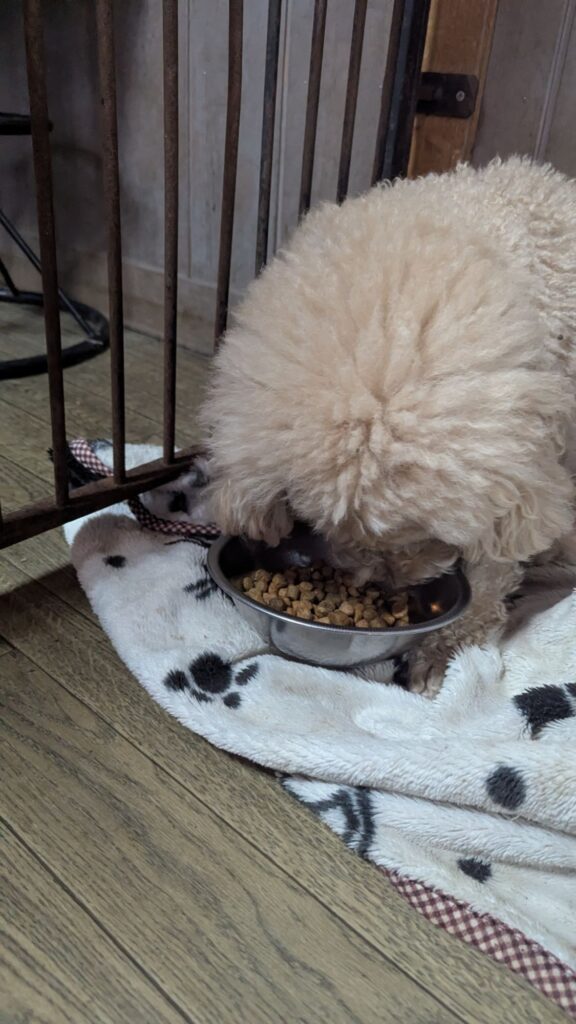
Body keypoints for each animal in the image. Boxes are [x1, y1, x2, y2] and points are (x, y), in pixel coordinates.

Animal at [200, 157, 576, 693]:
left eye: (425, 537)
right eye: (327, 529)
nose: (383, 586)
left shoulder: (525, 468)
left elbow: (491, 572)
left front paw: (440, 652)